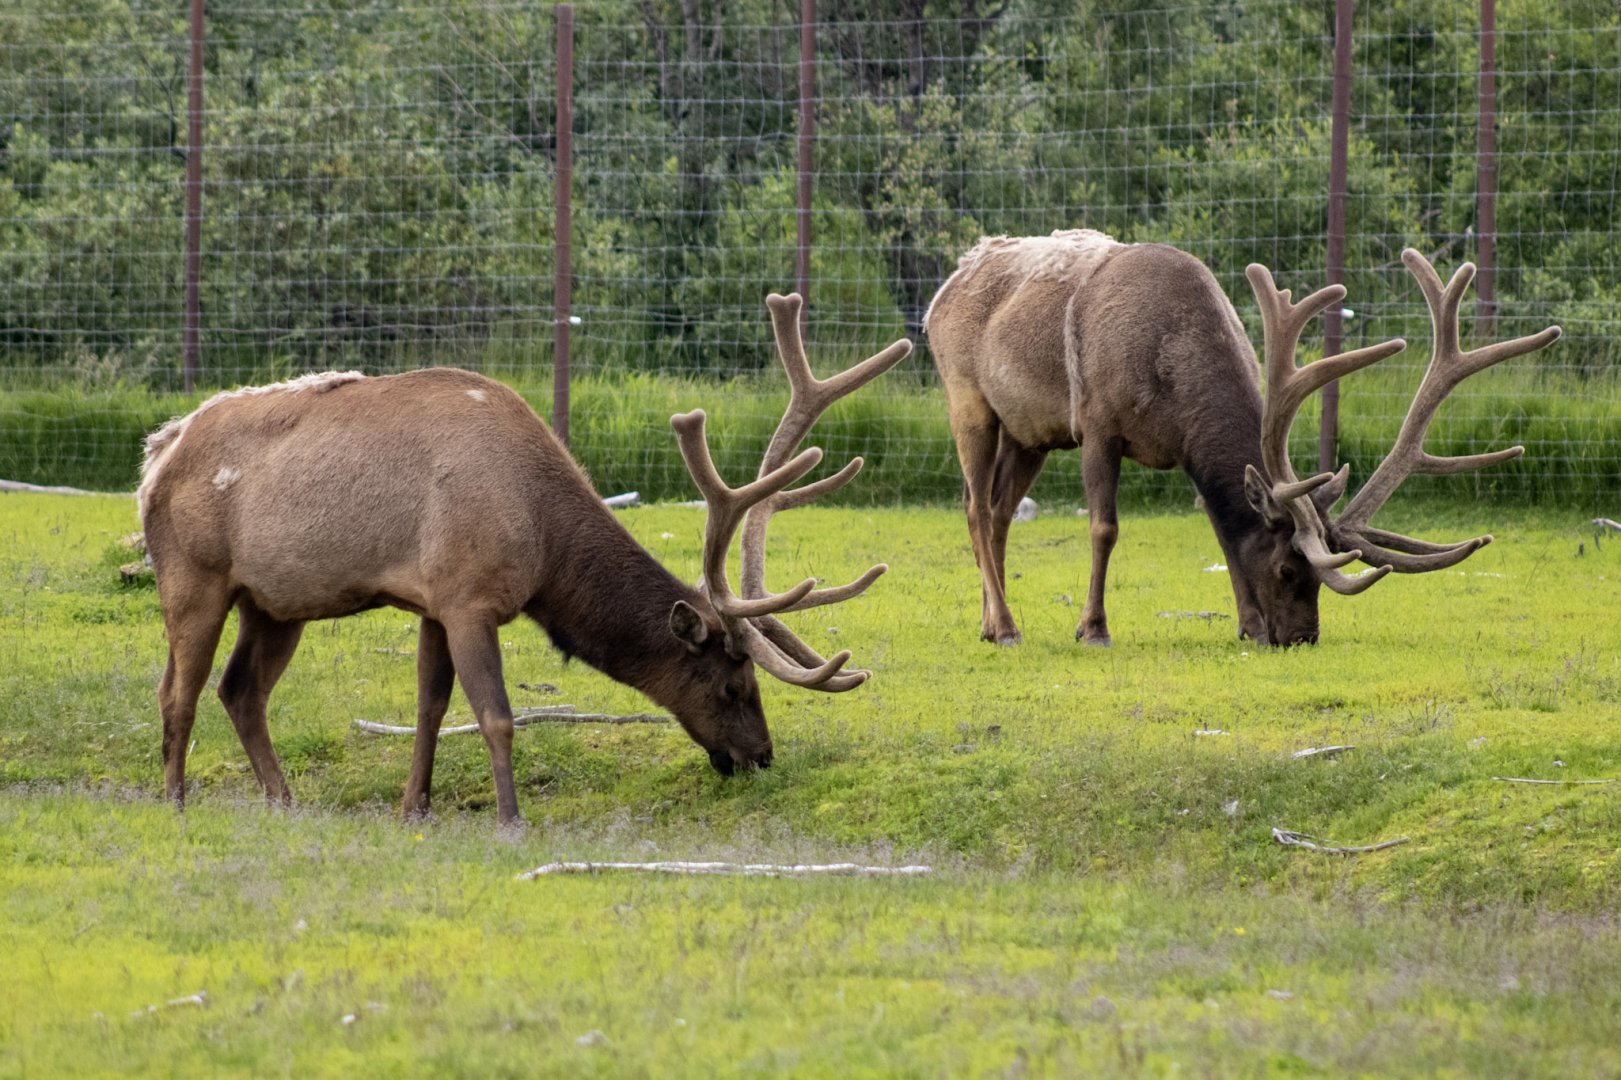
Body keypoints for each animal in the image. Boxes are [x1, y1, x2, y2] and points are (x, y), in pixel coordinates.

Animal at [137, 294, 910, 825]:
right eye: (731, 684)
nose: (760, 756)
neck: (544, 545)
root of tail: (156, 455)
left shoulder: (433, 600)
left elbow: (429, 706)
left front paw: (414, 808)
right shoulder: (469, 596)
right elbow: (495, 713)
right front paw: (510, 819)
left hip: (275, 600)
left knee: (240, 690)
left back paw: (284, 800)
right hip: (192, 574)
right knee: (177, 689)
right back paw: (173, 801)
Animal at [924, 230, 1560, 647]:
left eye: (1316, 581)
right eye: (1288, 571)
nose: (1302, 638)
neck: (1173, 372)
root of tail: (941, 291)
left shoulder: (1186, 453)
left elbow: (1224, 535)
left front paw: (1247, 625)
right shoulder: (1098, 425)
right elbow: (1104, 528)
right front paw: (1093, 628)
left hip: (1029, 431)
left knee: (997, 511)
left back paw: (989, 623)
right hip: (967, 400)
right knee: (975, 506)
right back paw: (1007, 628)